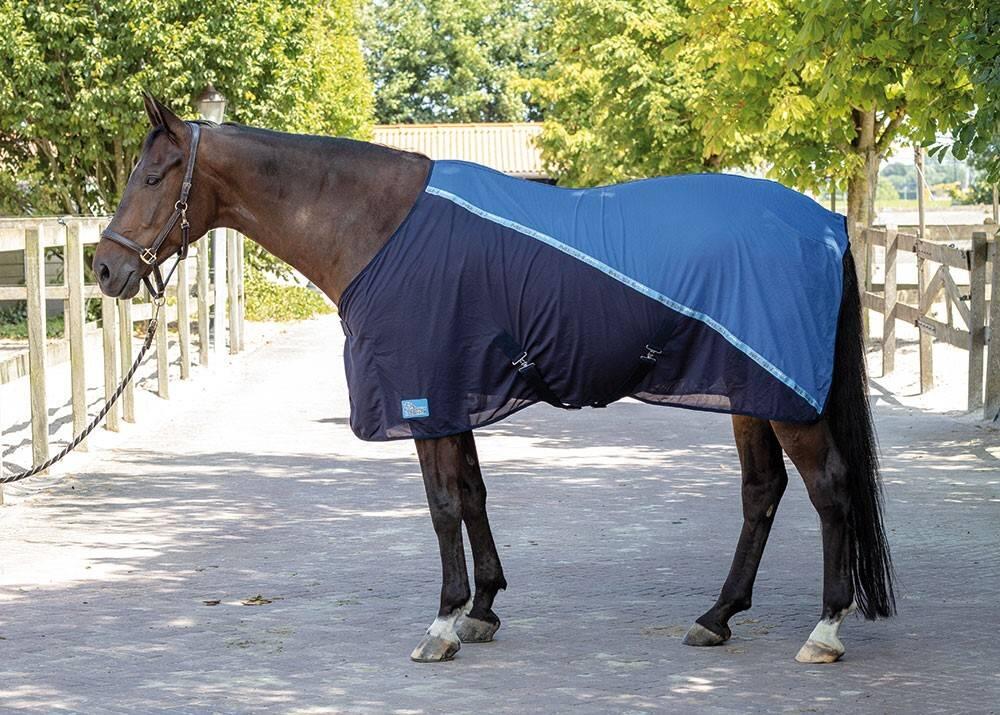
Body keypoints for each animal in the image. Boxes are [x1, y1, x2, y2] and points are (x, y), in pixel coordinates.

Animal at [93, 94, 894, 665]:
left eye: (155, 175)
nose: (105, 268)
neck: (378, 227)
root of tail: (824, 223)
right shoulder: (455, 397)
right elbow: (474, 496)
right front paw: (482, 610)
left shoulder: (422, 397)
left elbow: (443, 504)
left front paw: (443, 622)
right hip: (749, 391)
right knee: (762, 492)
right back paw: (716, 618)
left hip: (787, 398)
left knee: (829, 488)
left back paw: (824, 630)